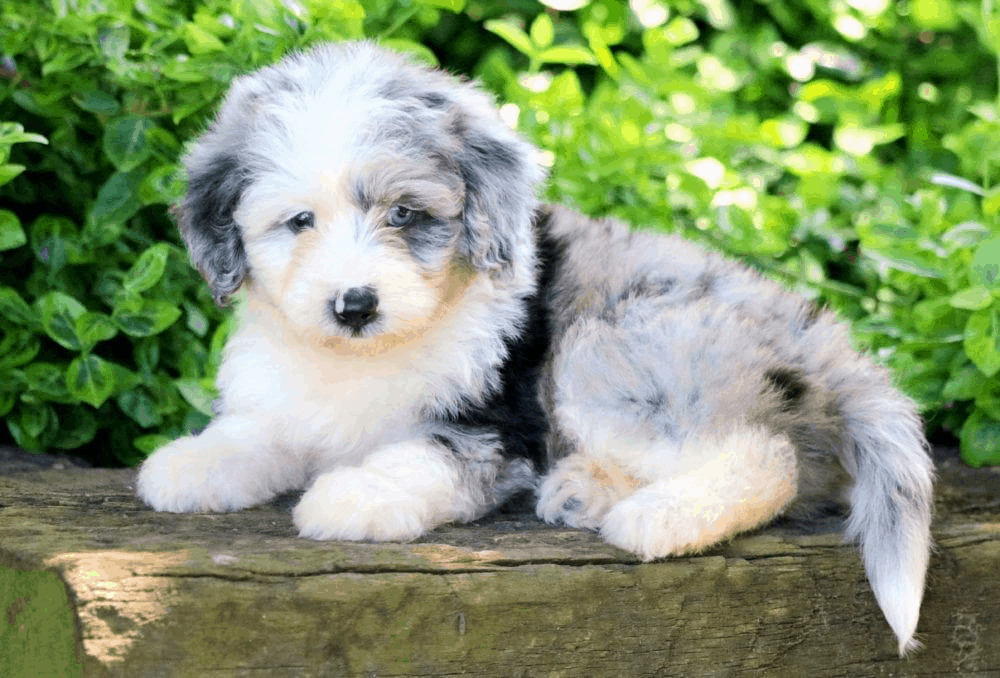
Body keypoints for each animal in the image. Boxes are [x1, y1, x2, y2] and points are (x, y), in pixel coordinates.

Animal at [135, 39, 936, 656]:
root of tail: (825, 345)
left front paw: (358, 493)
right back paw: (587, 488)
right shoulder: (286, 398)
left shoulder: (496, 425)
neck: (366, 357)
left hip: (613, 349)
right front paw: (191, 464)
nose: (355, 305)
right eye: (300, 220)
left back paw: (657, 517)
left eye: (404, 214)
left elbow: (422, 456)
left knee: (765, 456)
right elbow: (255, 431)